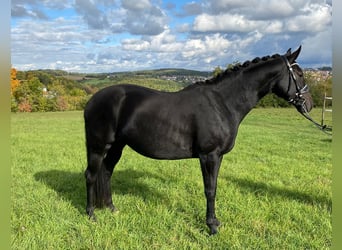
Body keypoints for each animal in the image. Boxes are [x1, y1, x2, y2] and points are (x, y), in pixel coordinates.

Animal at [83, 46, 312, 234]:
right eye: (299, 74)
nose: (308, 104)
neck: (222, 103)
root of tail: (93, 100)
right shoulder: (208, 156)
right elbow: (209, 190)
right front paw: (211, 226)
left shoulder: (218, 157)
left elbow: (214, 187)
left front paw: (215, 221)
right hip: (98, 146)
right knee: (91, 175)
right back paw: (91, 214)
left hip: (116, 147)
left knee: (106, 172)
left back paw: (111, 208)